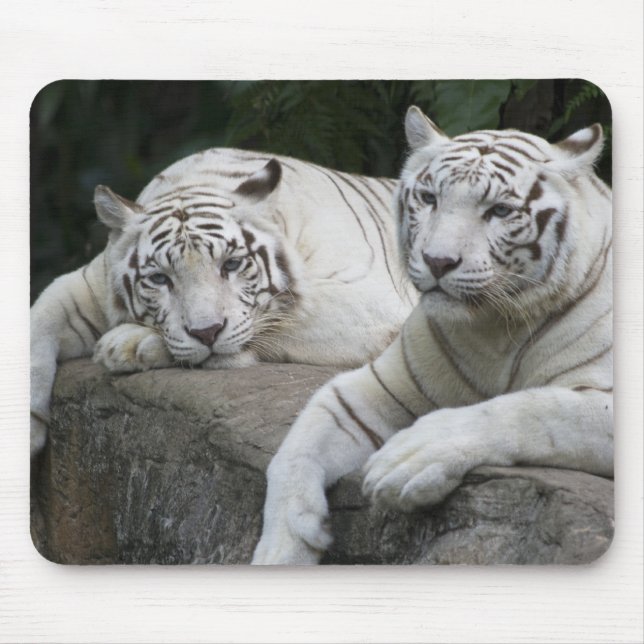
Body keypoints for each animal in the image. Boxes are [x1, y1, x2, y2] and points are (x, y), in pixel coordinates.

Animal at [30, 148, 417, 458]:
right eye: (160, 279)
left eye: (231, 264)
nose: (207, 332)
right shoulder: (88, 282)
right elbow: (39, 320)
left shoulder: (370, 302)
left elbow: (281, 317)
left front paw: (128, 344)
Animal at [252, 105, 613, 565]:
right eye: (430, 199)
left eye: (499, 211)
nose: (438, 261)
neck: (497, 329)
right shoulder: (377, 385)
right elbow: (295, 449)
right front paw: (282, 549)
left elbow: (531, 408)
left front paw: (408, 459)